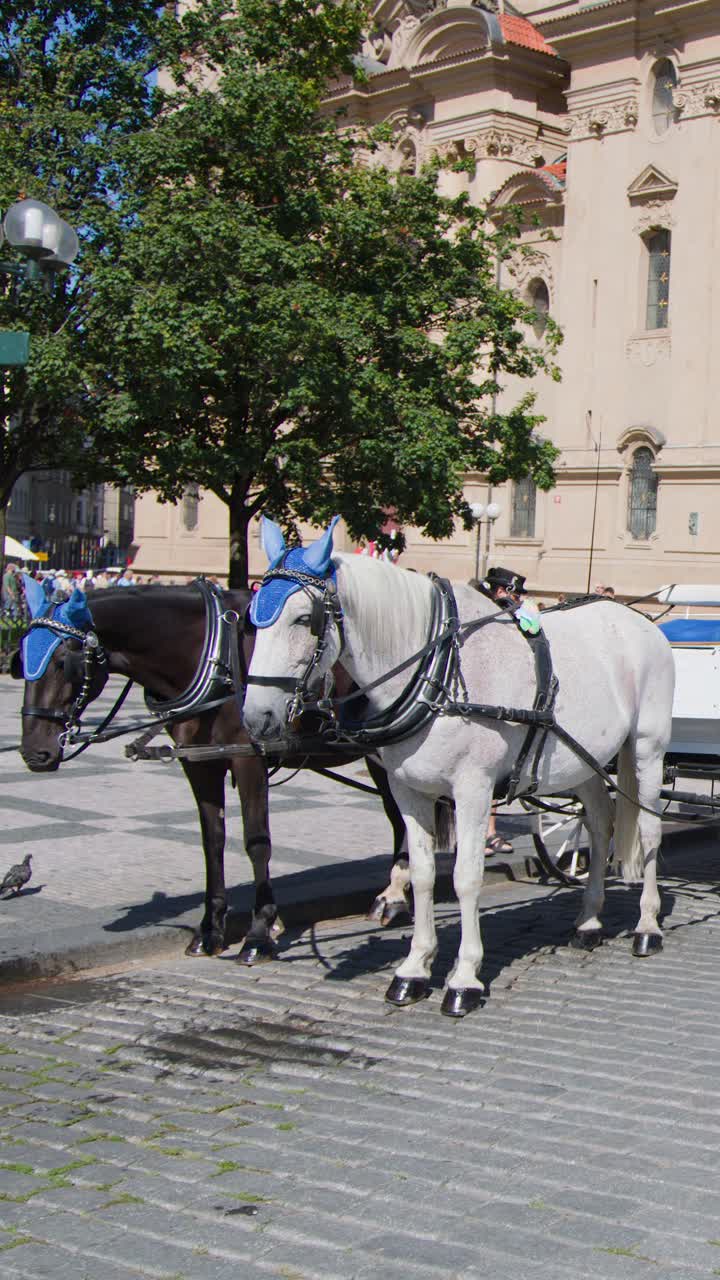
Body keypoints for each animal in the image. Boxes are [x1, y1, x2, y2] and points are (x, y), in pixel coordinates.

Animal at [12, 576, 411, 963]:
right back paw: (394, 896)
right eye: (21, 659)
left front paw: (260, 931)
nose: (35, 752)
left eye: (63, 661)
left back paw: (394, 896)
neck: (214, 656)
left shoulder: (249, 758)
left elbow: (256, 842)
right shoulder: (198, 761)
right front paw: (210, 930)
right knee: (398, 816)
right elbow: (212, 841)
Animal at [242, 516, 675, 1017]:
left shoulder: (473, 788)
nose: (255, 717)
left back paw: (647, 926)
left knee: (649, 830)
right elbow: (424, 874)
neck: (439, 672)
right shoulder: (408, 791)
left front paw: (464, 977)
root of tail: (639, 620)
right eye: (252, 616)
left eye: (303, 619)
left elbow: (466, 878)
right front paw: (413, 968)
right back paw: (589, 921)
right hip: (582, 760)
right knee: (600, 822)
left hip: (646, 749)